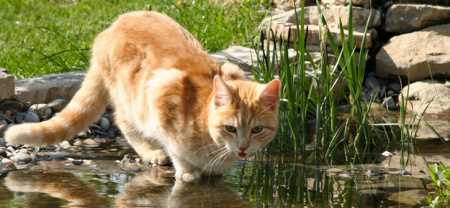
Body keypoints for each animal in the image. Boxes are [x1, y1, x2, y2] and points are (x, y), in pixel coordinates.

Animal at [6, 10, 282, 182]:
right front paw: (187, 170)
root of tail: (110, 27)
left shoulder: (233, 70)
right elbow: (176, 149)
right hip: (133, 101)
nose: (243, 149)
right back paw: (151, 153)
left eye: (257, 130)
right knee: (122, 120)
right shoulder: (163, 93)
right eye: (230, 128)